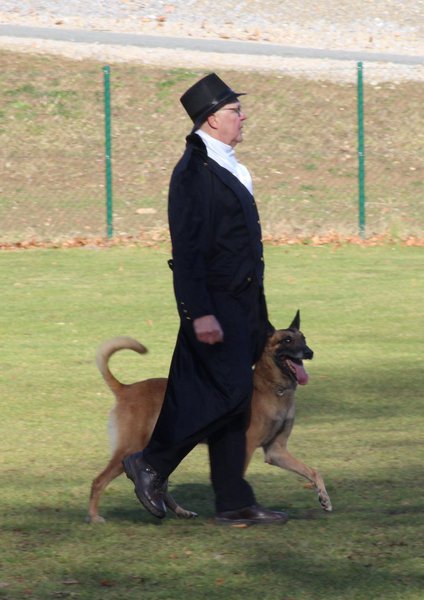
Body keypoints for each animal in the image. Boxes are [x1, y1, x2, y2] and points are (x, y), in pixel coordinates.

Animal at [87, 311, 332, 523]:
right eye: (287, 340)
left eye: (303, 338)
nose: (309, 352)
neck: (272, 388)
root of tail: (126, 389)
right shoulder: (246, 447)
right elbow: (237, 477)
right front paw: (240, 510)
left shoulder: (276, 451)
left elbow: (313, 471)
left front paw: (324, 498)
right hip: (130, 448)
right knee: (99, 480)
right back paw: (94, 517)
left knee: (160, 484)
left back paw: (178, 511)